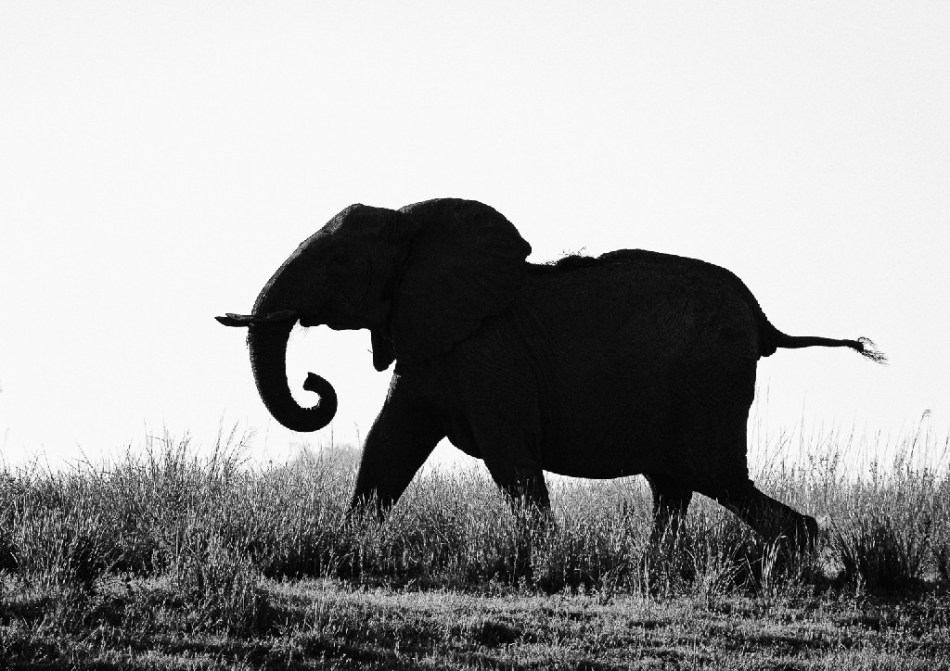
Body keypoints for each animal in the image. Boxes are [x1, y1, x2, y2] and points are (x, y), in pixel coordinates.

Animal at [217, 198, 885, 547]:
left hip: (709, 387)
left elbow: (510, 458)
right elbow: (388, 446)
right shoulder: (433, 346)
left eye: (339, 263)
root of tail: (764, 321)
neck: (414, 220)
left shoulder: (488, 353)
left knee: (716, 479)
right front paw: (346, 546)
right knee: (675, 487)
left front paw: (545, 559)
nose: (314, 384)